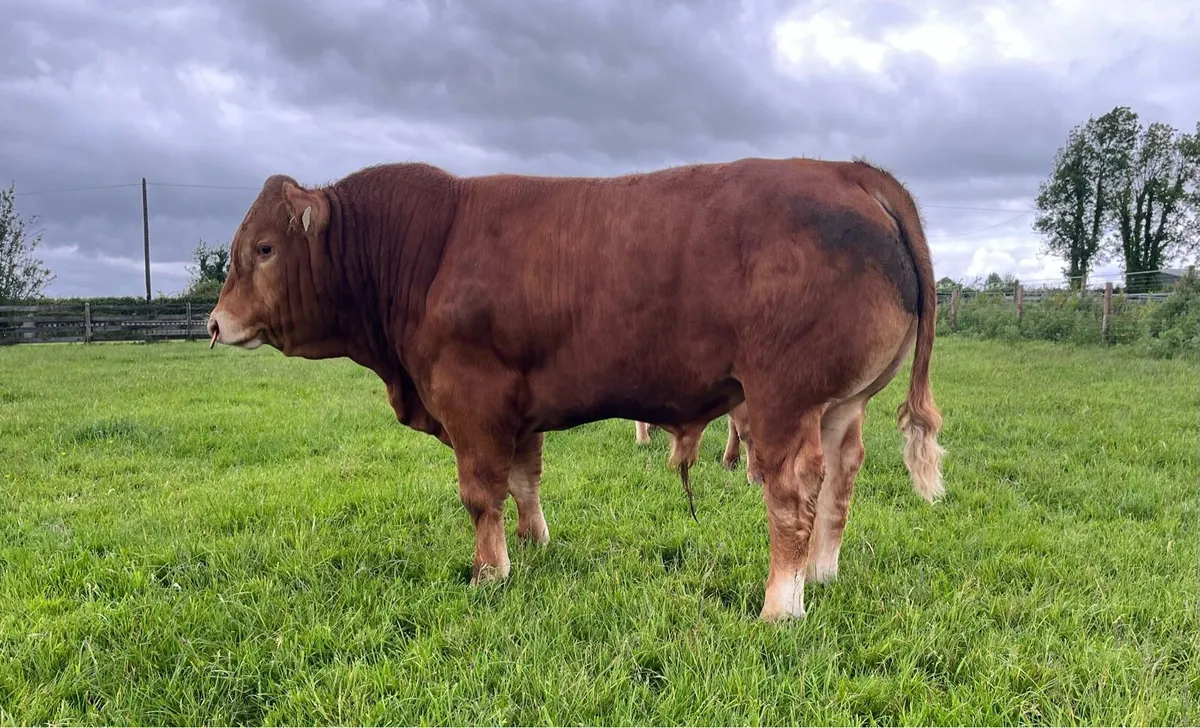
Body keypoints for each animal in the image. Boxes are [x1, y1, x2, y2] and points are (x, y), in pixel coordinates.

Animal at [206, 155, 945, 621]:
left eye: (265, 248)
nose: (214, 323)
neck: (426, 251)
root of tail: (847, 170)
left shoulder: (471, 401)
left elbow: (480, 494)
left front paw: (489, 572)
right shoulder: (517, 409)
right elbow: (524, 480)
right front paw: (535, 544)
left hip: (783, 400)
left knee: (792, 494)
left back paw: (780, 606)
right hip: (839, 405)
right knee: (840, 484)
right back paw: (822, 573)